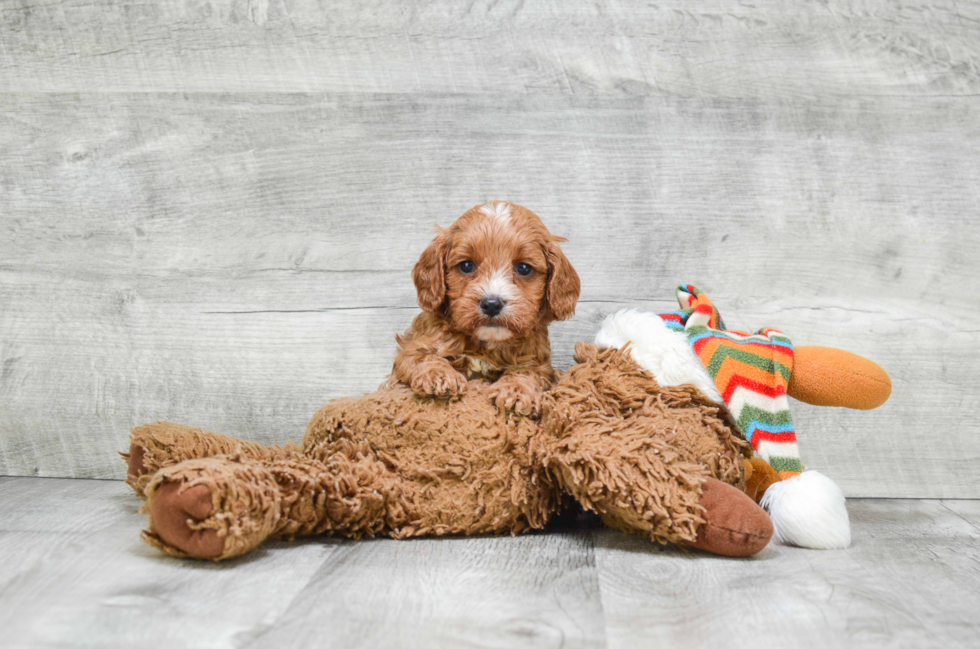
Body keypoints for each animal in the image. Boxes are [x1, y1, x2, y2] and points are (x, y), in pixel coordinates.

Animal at [390, 200, 580, 418]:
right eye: (466, 266)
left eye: (524, 268)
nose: (491, 304)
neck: (486, 344)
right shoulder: (411, 348)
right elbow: (422, 356)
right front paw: (439, 376)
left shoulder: (540, 364)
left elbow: (527, 371)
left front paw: (516, 390)